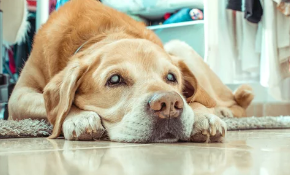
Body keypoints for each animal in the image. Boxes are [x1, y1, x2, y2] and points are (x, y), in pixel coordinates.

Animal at [7, 0, 254, 143]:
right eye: (115, 79)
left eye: (171, 77)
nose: (169, 104)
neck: (98, 34)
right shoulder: (17, 97)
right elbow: (59, 107)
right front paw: (78, 117)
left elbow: (194, 101)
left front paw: (203, 117)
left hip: (180, 48)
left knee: (231, 101)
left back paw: (224, 111)